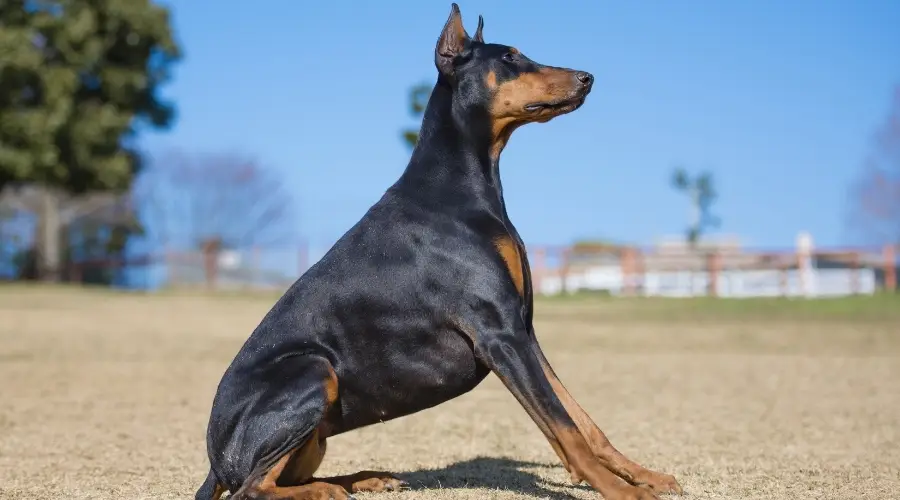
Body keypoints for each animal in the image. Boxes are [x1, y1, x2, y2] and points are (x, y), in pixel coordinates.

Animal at [192, 4, 684, 500]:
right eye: (510, 57)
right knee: (252, 487)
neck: (461, 189)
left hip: (317, 431)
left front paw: (644, 474)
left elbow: (583, 421)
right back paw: (327, 489)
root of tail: (215, 461)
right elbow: (564, 427)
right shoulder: (498, 331)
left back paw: (364, 479)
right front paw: (623, 491)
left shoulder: (523, 329)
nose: (588, 78)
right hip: (313, 370)